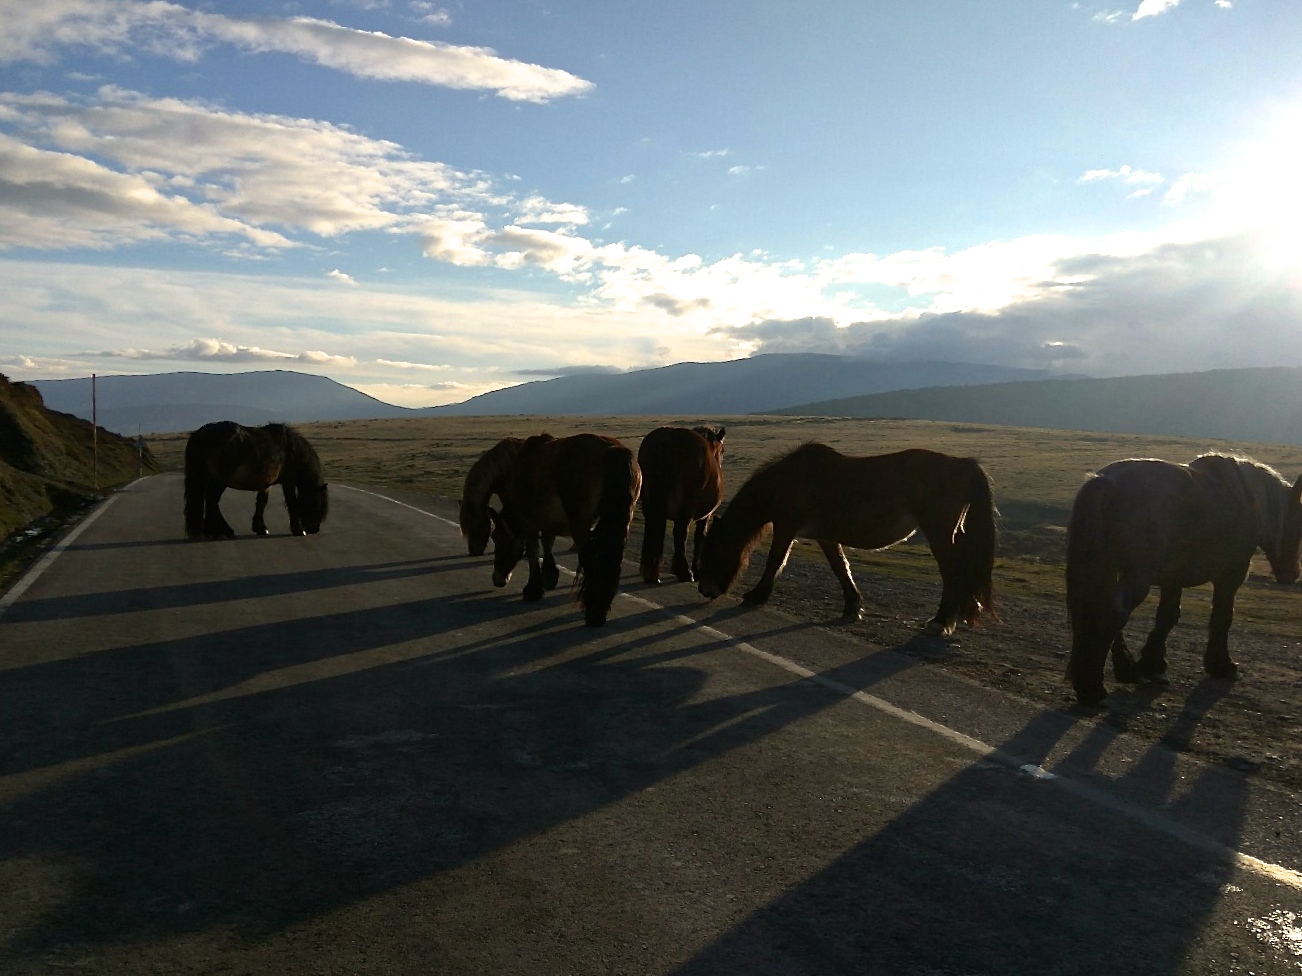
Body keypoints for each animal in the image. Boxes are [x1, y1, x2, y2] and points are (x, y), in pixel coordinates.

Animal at [183, 421, 329, 539]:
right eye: (318, 503)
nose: (314, 529)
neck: (291, 450)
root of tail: (200, 435)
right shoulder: (288, 481)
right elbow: (291, 501)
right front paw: (298, 529)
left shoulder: (266, 484)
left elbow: (261, 503)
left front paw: (260, 528)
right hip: (219, 481)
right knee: (212, 501)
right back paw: (217, 532)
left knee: (212, 502)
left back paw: (222, 531)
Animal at [490, 432, 642, 627]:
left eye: (495, 537)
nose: (497, 578)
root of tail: (613, 450)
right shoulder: (548, 522)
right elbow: (548, 541)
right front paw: (549, 575)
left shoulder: (529, 523)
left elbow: (533, 550)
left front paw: (533, 589)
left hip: (580, 527)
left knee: (590, 558)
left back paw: (594, 612)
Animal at [637, 425, 726, 584]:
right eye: (722, 451)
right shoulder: (705, 516)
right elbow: (699, 538)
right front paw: (697, 570)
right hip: (685, 510)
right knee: (680, 533)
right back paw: (684, 572)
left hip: (651, 507)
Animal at [696, 443, 997, 635]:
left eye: (714, 551)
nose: (704, 590)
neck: (788, 480)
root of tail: (964, 465)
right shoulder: (826, 537)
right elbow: (841, 568)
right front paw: (853, 606)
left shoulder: (786, 528)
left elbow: (775, 562)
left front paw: (756, 596)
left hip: (939, 534)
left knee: (953, 573)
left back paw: (942, 621)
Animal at [1065, 453, 1302, 705]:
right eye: (1298, 526)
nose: (1292, 574)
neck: (1244, 497)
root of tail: (1107, 482)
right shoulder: (1229, 578)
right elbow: (1222, 617)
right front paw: (1222, 665)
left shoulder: (1173, 579)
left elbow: (1167, 617)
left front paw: (1154, 664)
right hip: (1137, 576)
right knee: (1114, 614)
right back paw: (1093, 688)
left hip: (1108, 568)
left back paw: (1123, 671)